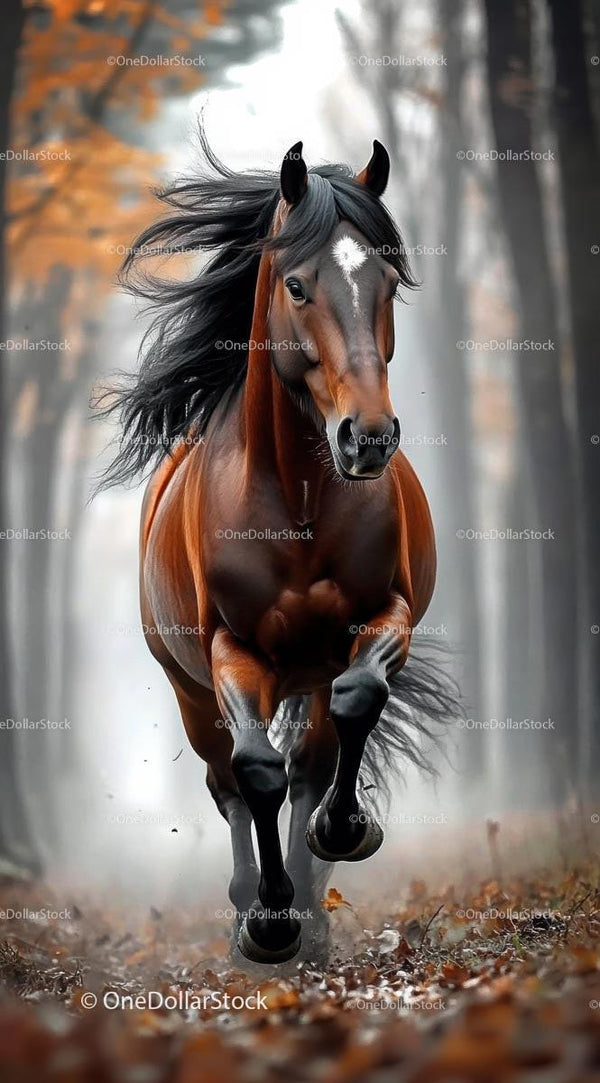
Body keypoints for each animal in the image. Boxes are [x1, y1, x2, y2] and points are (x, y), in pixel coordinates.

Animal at [100, 135, 454, 964]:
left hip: (308, 673)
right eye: (297, 285)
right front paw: (266, 920)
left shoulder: (381, 616)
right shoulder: (235, 651)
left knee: (314, 760)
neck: (296, 498)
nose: (368, 438)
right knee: (230, 780)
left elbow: (354, 706)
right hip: (191, 690)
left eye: (387, 283)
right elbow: (254, 769)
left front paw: (343, 831)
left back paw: (314, 908)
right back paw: (252, 911)